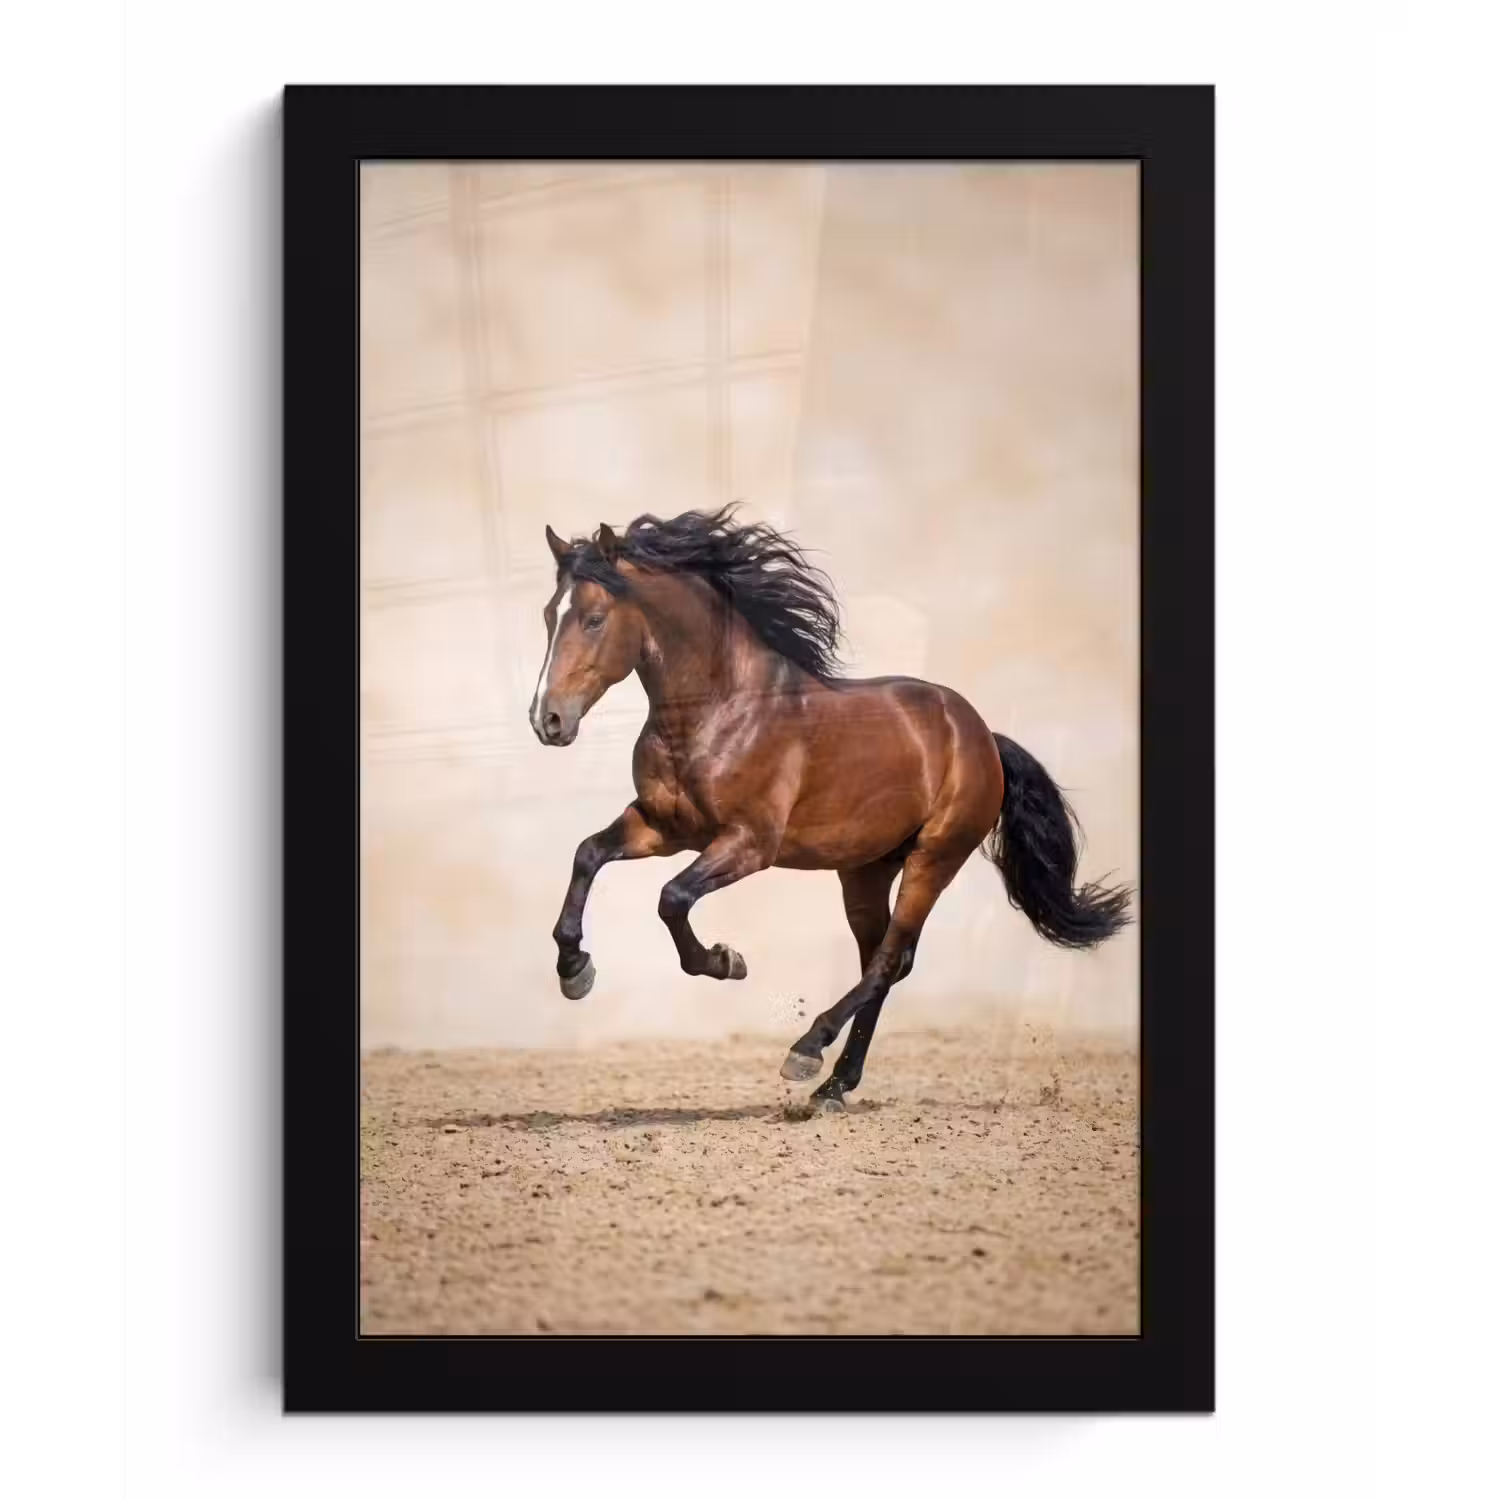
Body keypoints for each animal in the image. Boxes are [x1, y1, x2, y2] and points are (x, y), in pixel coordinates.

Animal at [528, 505, 1132, 1109]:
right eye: (549, 615)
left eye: (594, 619)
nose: (547, 720)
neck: (719, 710)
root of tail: (982, 736)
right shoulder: (661, 827)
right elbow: (588, 855)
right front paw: (575, 971)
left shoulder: (749, 844)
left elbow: (672, 898)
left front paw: (726, 961)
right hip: (865, 870)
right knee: (885, 961)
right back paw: (836, 1084)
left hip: (935, 857)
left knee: (888, 960)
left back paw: (807, 1051)